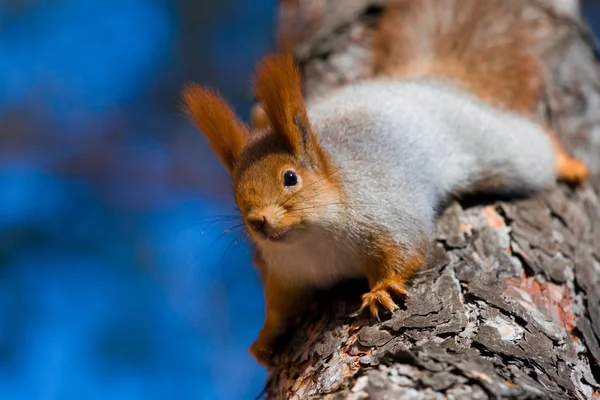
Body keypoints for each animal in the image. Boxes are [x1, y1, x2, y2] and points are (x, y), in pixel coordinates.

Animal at [180, 0, 588, 366]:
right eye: (235, 194)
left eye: (290, 178)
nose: (258, 222)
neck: (313, 240)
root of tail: (424, 82)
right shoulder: (288, 273)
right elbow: (281, 307)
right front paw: (264, 341)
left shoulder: (388, 212)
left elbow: (407, 248)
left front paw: (380, 290)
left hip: (499, 150)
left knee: (535, 143)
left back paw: (568, 163)